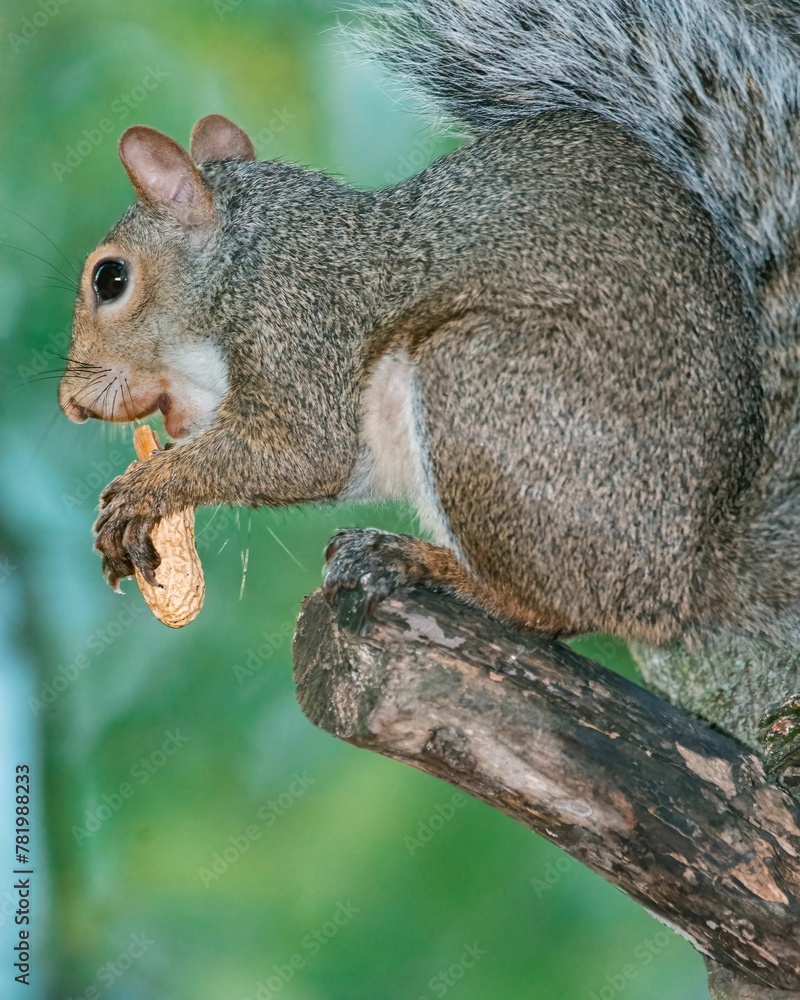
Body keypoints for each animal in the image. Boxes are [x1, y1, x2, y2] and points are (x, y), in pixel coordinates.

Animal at [58, 0, 800, 649]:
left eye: (110, 280)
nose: (69, 404)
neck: (246, 256)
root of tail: (688, 578)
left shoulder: (297, 319)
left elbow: (302, 452)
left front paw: (144, 491)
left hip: (481, 388)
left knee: (556, 612)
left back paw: (429, 564)